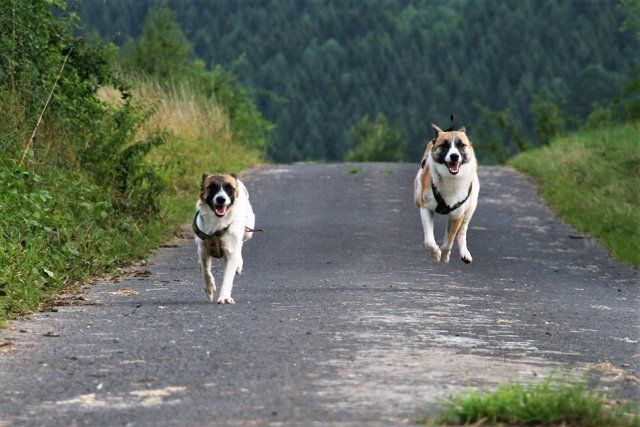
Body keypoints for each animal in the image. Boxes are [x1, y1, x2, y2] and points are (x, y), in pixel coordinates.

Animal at [194, 173, 255, 304]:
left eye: (229, 188)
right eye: (212, 187)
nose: (221, 199)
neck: (218, 222)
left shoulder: (231, 252)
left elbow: (228, 277)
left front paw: (224, 297)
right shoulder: (203, 249)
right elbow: (206, 271)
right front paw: (210, 289)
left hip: (248, 231)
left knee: (241, 243)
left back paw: (239, 264)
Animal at [413, 121, 479, 264]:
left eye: (461, 145)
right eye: (444, 145)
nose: (454, 156)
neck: (451, 179)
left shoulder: (458, 214)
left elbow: (450, 240)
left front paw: (444, 255)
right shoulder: (426, 207)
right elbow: (429, 239)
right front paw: (435, 253)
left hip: (470, 208)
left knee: (461, 231)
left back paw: (464, 253)